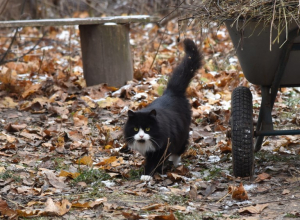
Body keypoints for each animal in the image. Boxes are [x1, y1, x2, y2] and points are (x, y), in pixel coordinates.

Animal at [123, 39, 203, 180]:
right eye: (136, 129)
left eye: (148, 129)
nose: (141, 135)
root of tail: (172, 92)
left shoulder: (162, 147)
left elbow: (155, 162)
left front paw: (148, 174)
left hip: (182, 133)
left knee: (180, 148)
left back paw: (175, 163)